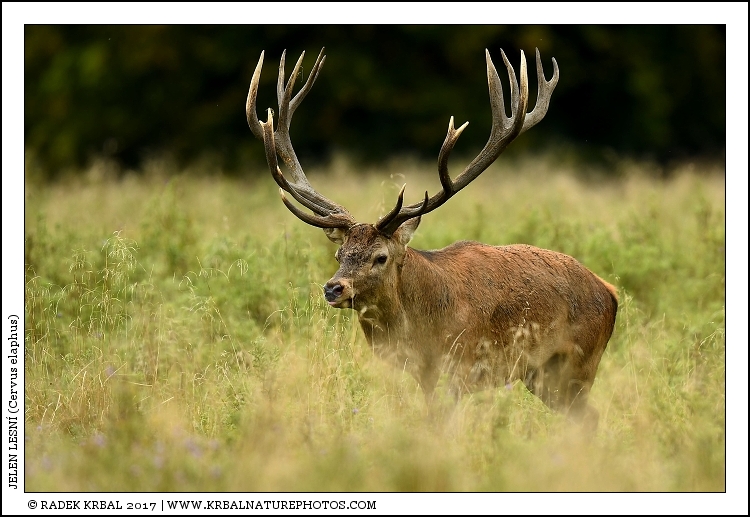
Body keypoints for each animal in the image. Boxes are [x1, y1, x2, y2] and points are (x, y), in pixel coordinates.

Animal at [245, 47, 618, 430]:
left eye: (380, 256)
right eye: (340, 255)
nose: (334, 288)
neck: (423, 331)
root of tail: (610, 291)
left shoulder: (463, 365)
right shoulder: (424, 375)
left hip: (578, 364)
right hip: (541, 375)